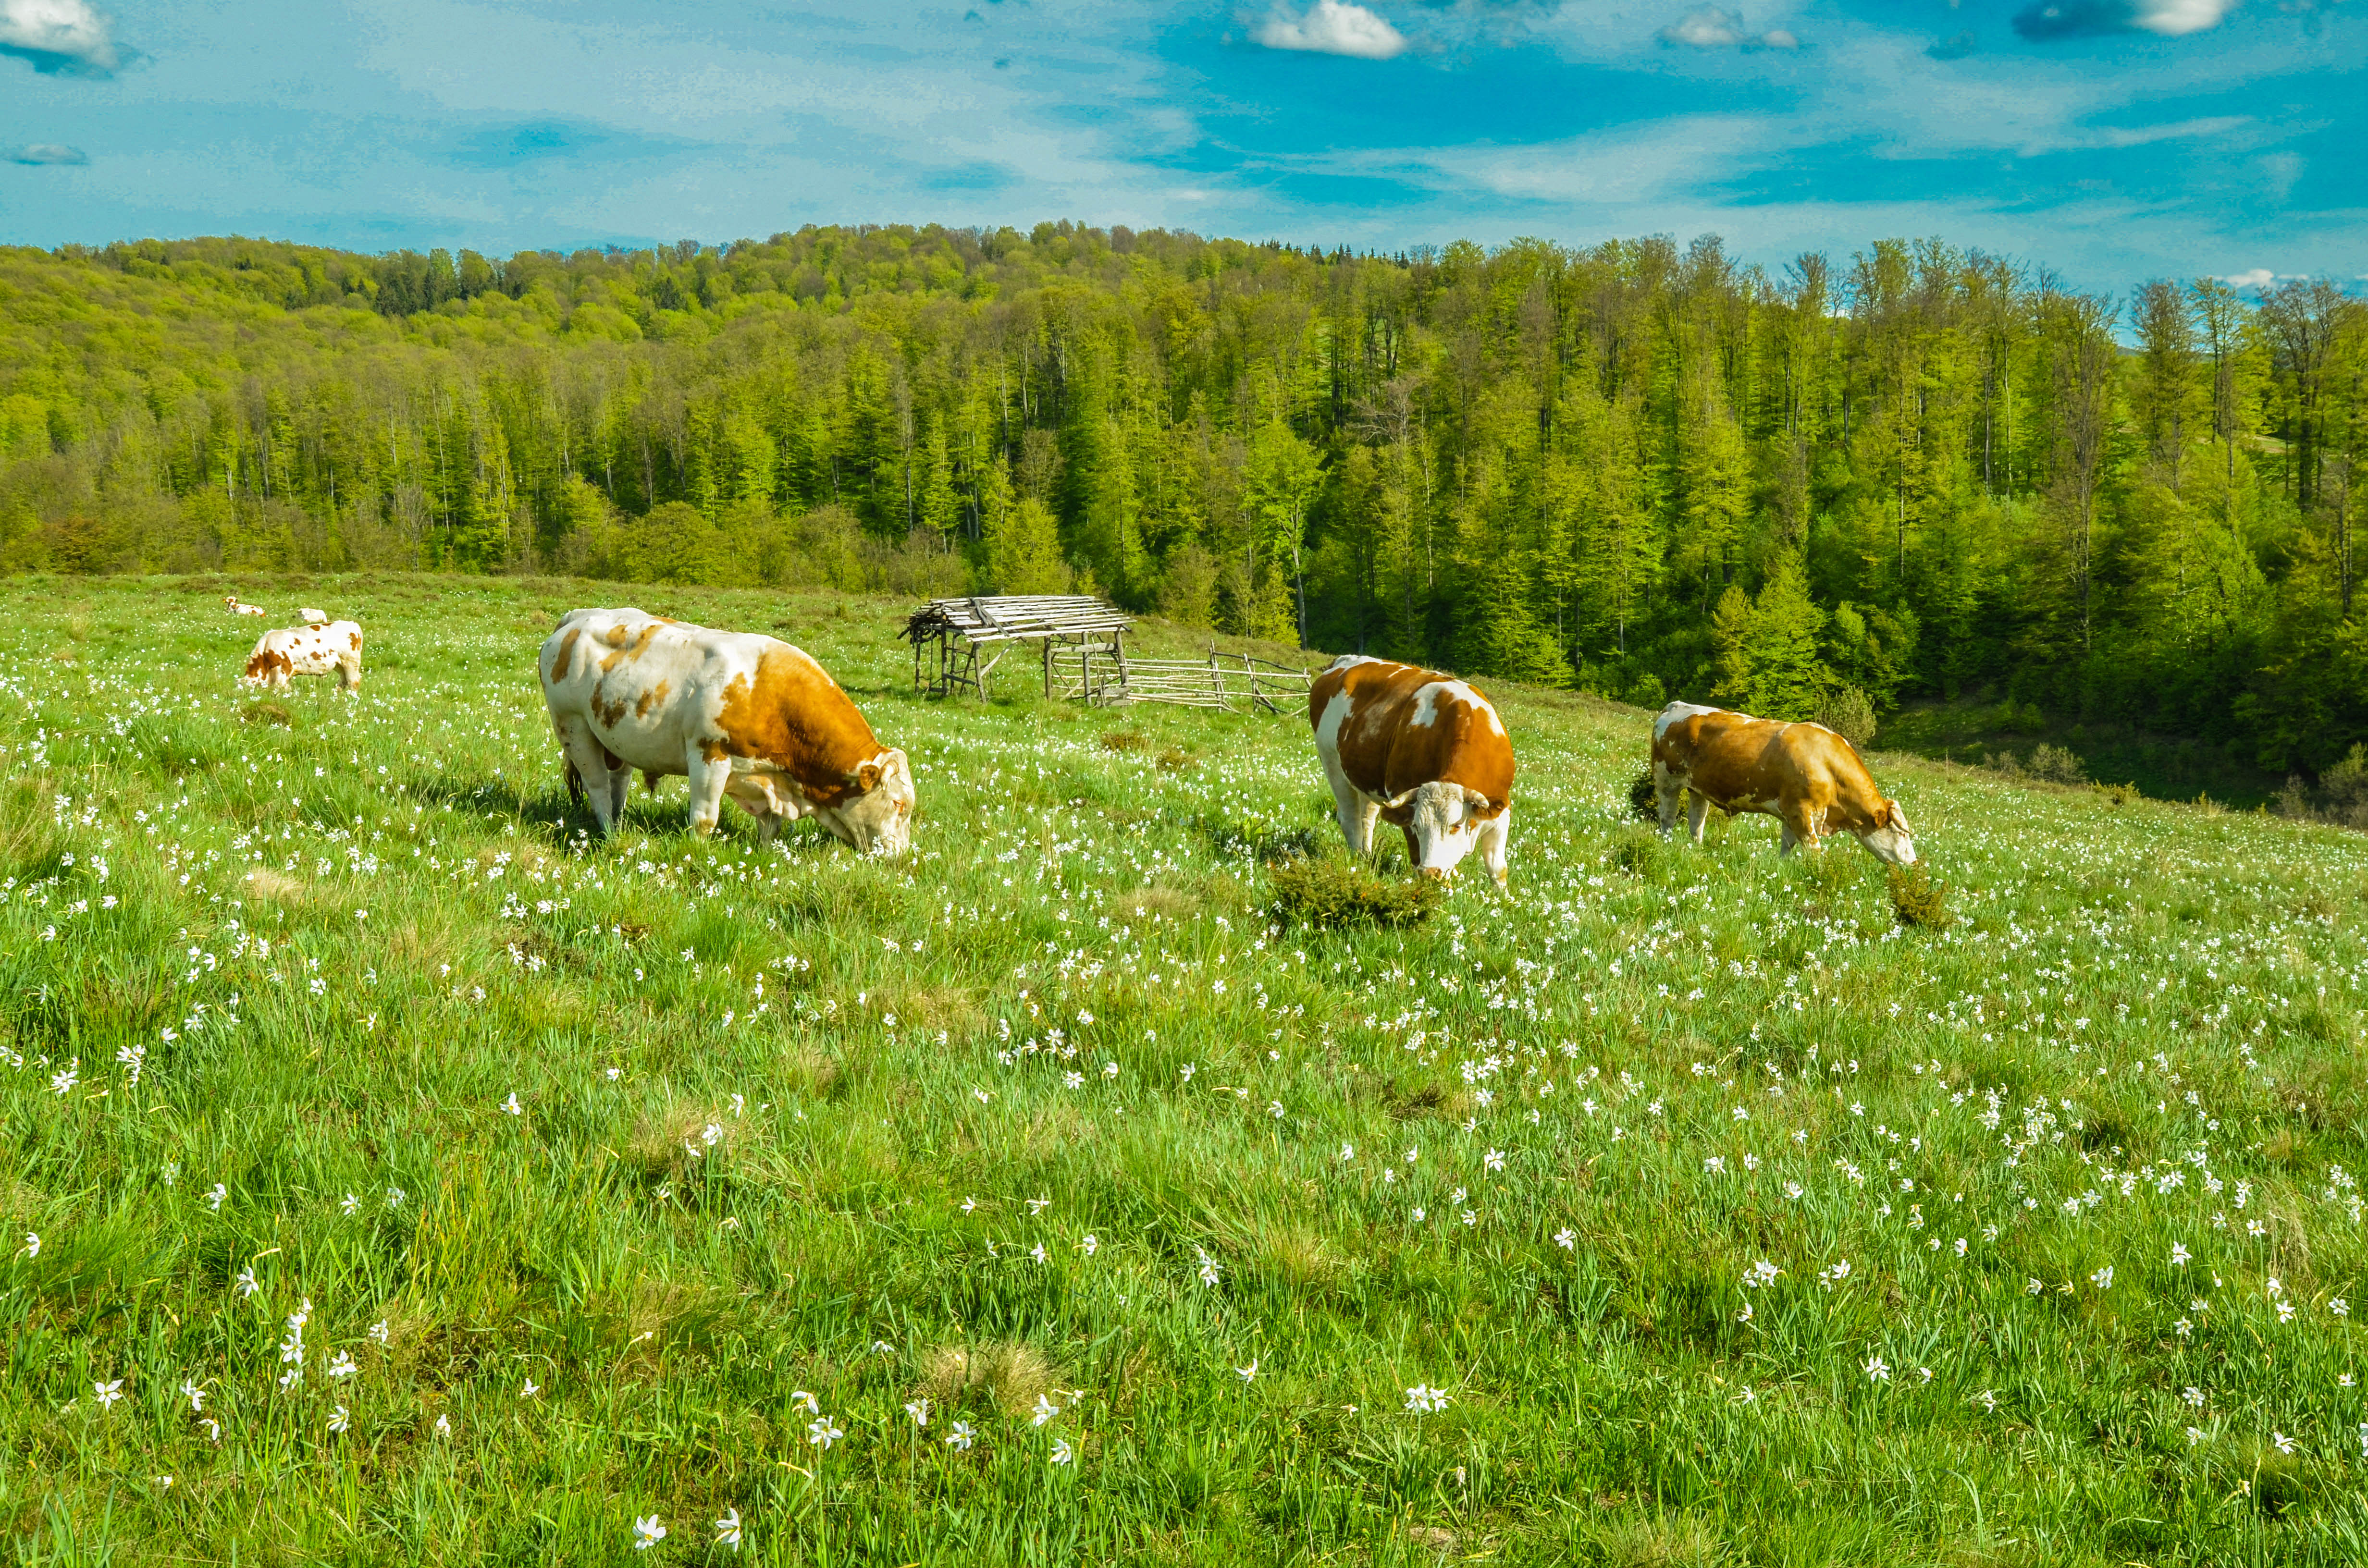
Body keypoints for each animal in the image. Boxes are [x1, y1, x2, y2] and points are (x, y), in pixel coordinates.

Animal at [247, 620, 367, 696]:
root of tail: (353, 624)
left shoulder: (283, 671)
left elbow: (281, 687)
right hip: (339, 665)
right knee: (344, 680)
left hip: (350, 663)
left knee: (354, 681)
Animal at [540, 615, 914, 862]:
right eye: (899, 804)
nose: (901, 857)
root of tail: (575, 620)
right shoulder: (709, 758)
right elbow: (705, 820)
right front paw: (699, 853)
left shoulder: (772, 779)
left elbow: (772, 826)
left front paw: (766, 854)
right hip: (573, 728)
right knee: (598, 787)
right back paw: (609, 833)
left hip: (616, 738)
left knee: (619, 781)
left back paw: (618, 825)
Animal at [1316, 653, 1515, 886]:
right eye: (1419, 826)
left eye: (1456, 826)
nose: (1431, 873)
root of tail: (1346, 661)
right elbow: (1416, 855)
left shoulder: (1502, 811)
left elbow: (1498, 869)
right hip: (1332, 763)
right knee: (1350, 818)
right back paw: (1358, 857)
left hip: (1365, 780)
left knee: (1368, 818)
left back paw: (1366, 856)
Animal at [1657, 706, 1913, 867]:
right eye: (1901, 833)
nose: (1914, 862)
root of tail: (1678, 706)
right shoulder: (1801, 812)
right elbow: (1814, 851)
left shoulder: (1791, 814)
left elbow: (1787, 846)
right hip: (1667, 783)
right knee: (1668, 818)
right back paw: (1667, 844)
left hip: (1697, 789)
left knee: (1696, 822)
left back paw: (1697, 849)